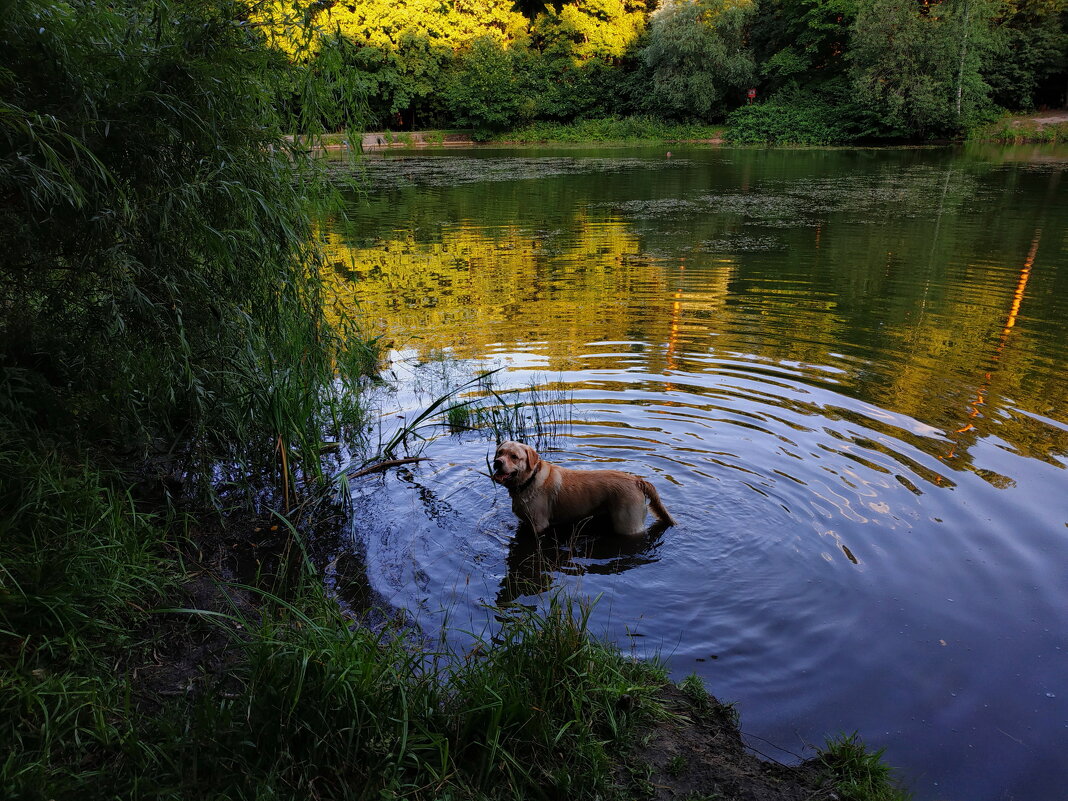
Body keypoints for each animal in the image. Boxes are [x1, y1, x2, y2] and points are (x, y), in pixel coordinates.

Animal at [489, 440, 670, 540]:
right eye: (500, 452)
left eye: (514, 456)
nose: (497, 462)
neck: (529, 480)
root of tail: (637, 480)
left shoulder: (539, 525)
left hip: (628, 525)